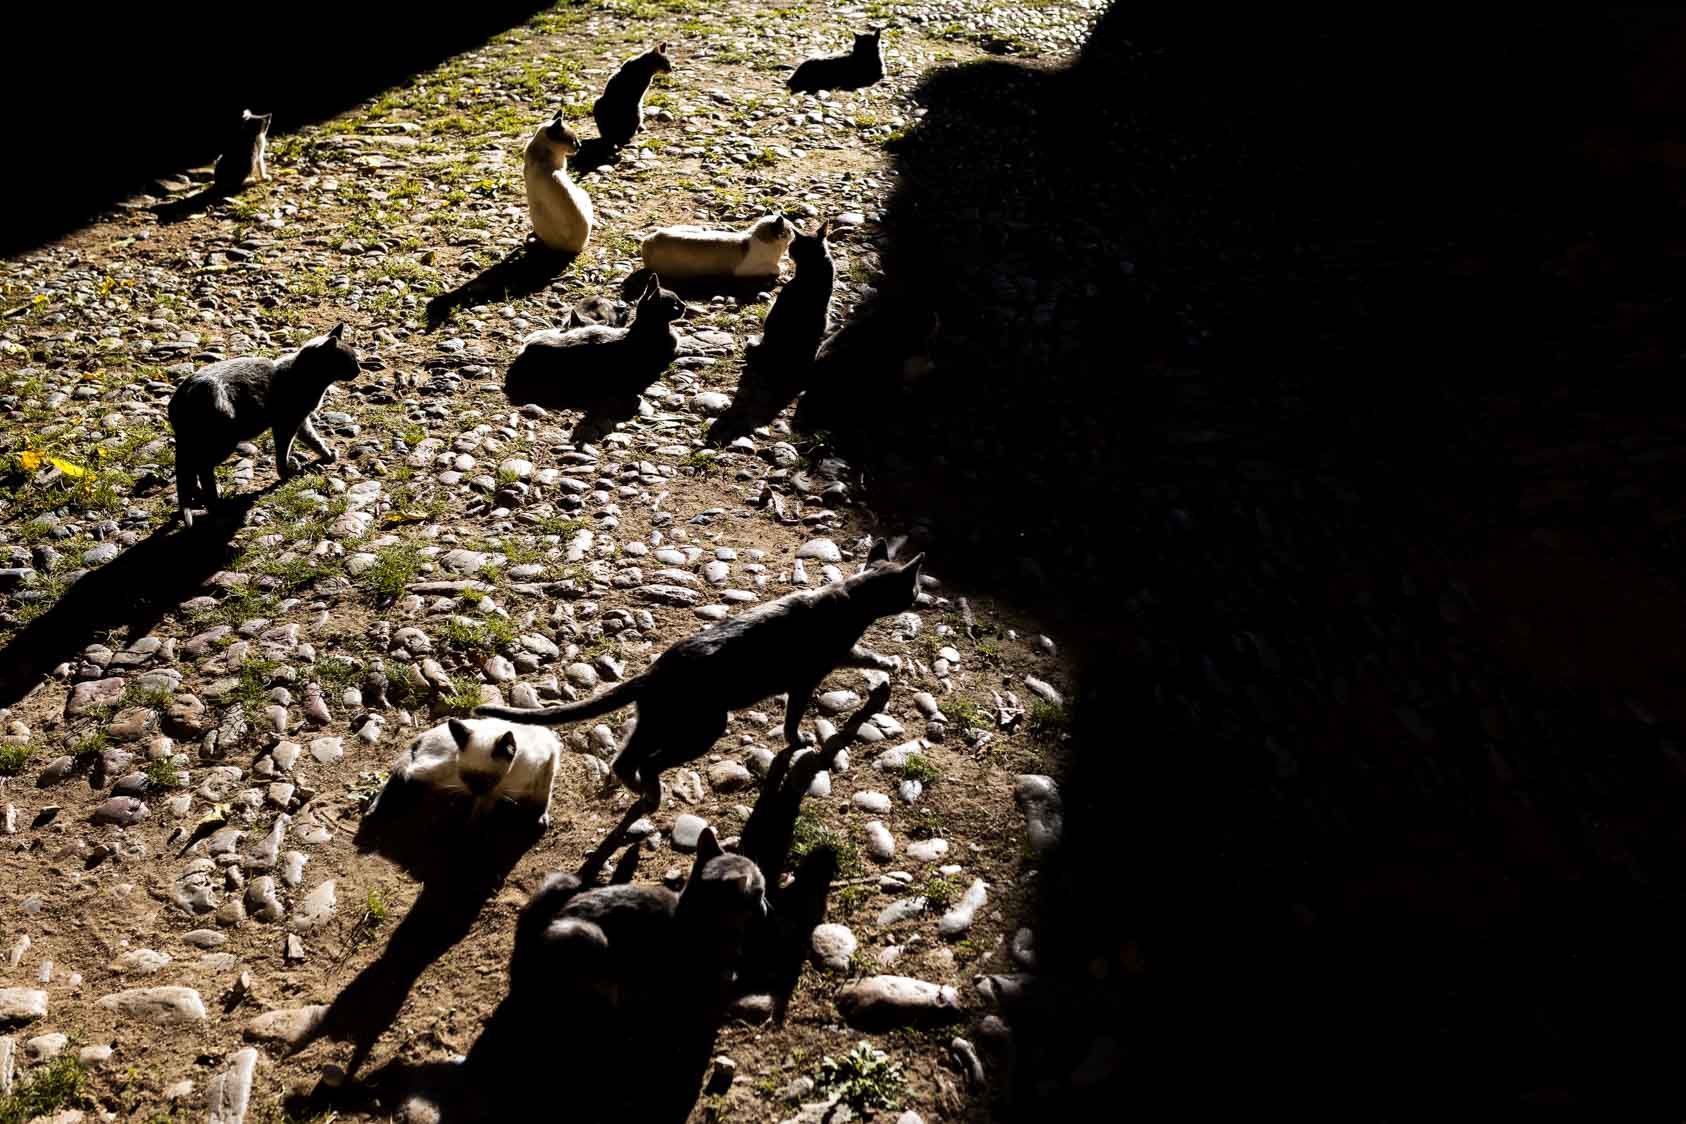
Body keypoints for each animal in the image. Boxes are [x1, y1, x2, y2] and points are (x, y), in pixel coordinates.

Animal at [166, 320, 359, 522]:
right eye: (349, 361)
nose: (359, 370)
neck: (304, 377)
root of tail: (180, 398)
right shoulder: (286, 422)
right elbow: (283, 450)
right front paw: (285, 473)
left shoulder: (300, 420)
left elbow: (314, 439)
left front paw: (327, 455)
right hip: (223, 440)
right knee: (202, 467)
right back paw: (216, 503)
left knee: (192, 467)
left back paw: (199, 495)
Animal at [475, 535, 923, 808]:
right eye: (915, 587)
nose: (924, 597)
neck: (851, 598)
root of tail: (654, 670)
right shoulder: (806, 679)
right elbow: (794, 720)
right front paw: (799, 741)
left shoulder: (841, 656)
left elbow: (867, 657)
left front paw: (887, 671)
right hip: (702, 726)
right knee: (647, 762)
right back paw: (651, 793)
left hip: (656, 722)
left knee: (624, 759)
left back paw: (640, 791)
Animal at [640, 213, 792, 281]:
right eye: (791, 230)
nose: (795, 234)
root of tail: (647, 240)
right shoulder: (744, 270)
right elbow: (776, 268)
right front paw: (782, 267)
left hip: (697, 228)